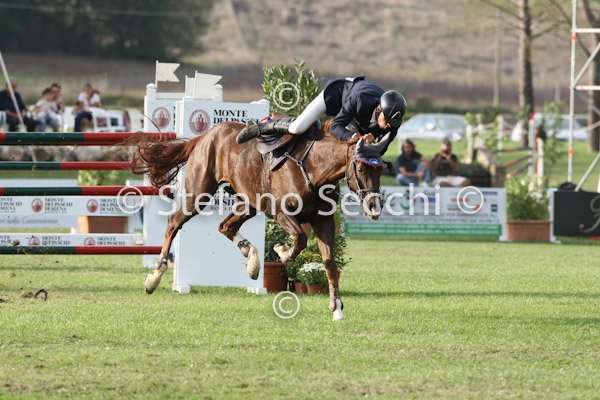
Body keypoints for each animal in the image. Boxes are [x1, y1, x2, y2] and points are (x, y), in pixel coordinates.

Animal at [129, 119, 385, 321]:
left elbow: (330, 263)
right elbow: (300, 239)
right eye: (361, 168)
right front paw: (282, 251)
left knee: (225, 226)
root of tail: (205, 136)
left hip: (249, 202)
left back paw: (252, 261)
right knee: (174, 223)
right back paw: (153, 279)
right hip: (198, 194)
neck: (313, 169)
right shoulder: (281, 212)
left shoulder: (323, 221)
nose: (374, 208)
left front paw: (337, 308)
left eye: (381, 169)